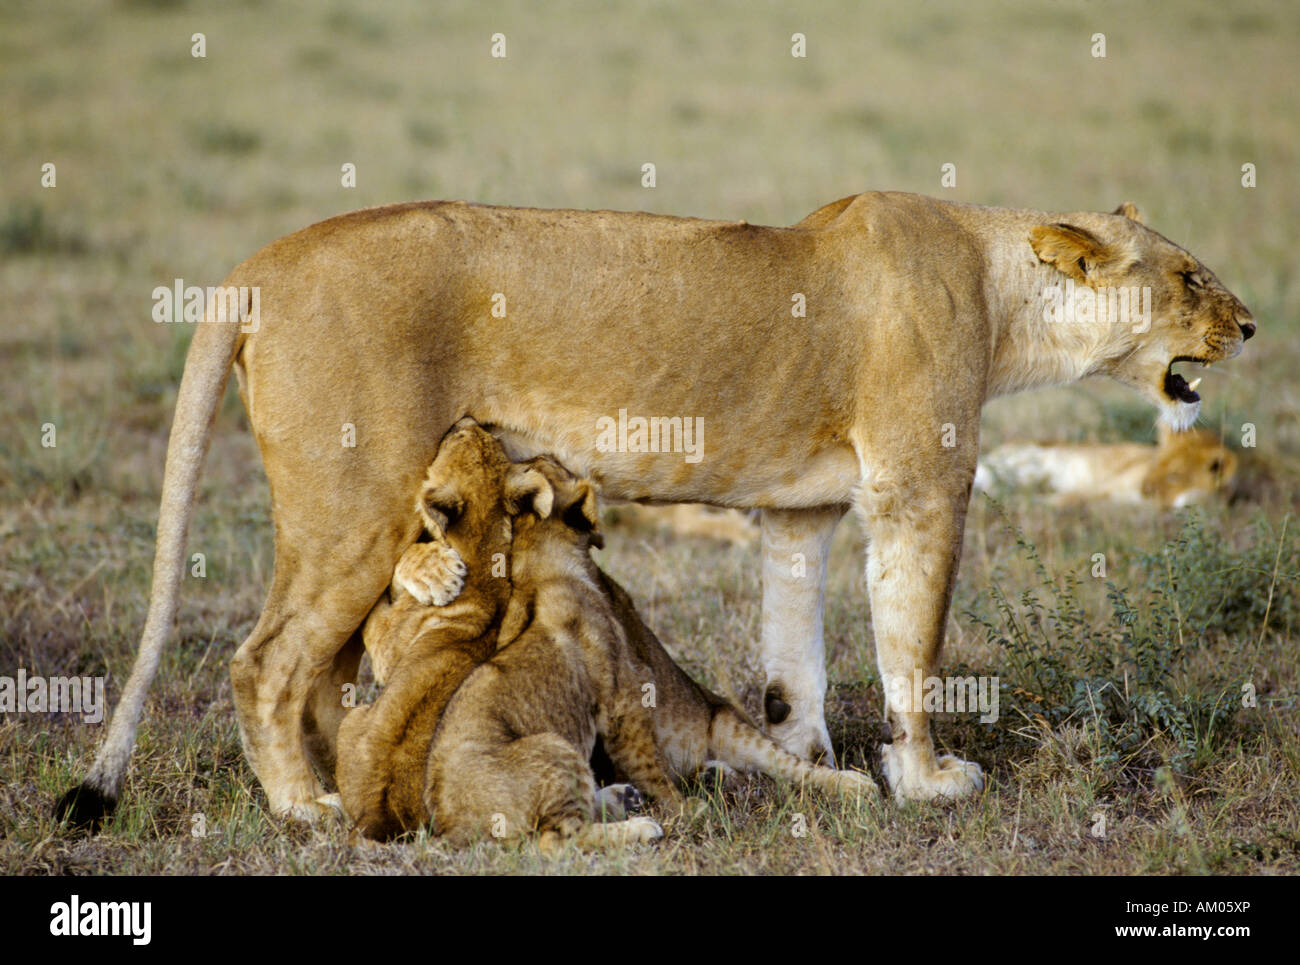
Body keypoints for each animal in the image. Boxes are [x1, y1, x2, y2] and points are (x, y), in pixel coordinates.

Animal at [332, 436, 873, 847]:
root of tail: (447, 821)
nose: (468, 421)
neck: (531, 565)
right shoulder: (622, 698)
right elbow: (651, 768)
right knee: (559, 836)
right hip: (557, 745)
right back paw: (647, 817)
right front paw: (684, 811)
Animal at [977, 426, 1237, 509]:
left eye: (1174, 476)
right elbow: (1072, 497)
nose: (1145, 489)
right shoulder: (1105, 485)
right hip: (1027, 464)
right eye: (1156, 463)